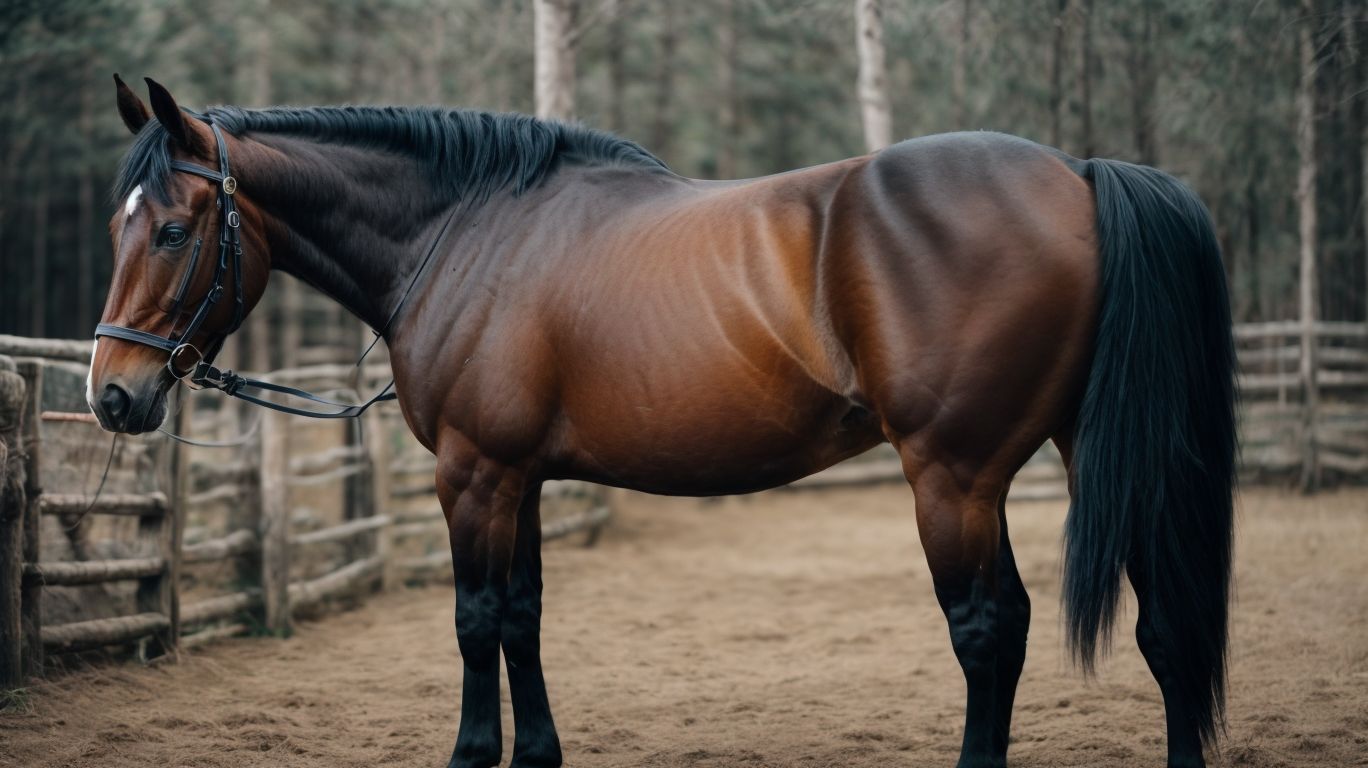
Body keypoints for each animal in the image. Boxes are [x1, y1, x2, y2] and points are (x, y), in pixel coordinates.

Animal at [89, 76, 1236, 768]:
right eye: (117, 224)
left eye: (177, 228)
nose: (112, 393)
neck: (467, 230)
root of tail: (1080, 174)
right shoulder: (518, 476)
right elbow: (523, 615)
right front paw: (537, 753)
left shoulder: (472, 473)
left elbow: (474, 620)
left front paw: (473, 752)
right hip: (1095, 453)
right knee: (1164, 626)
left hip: (954, 479)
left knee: (991, 632)